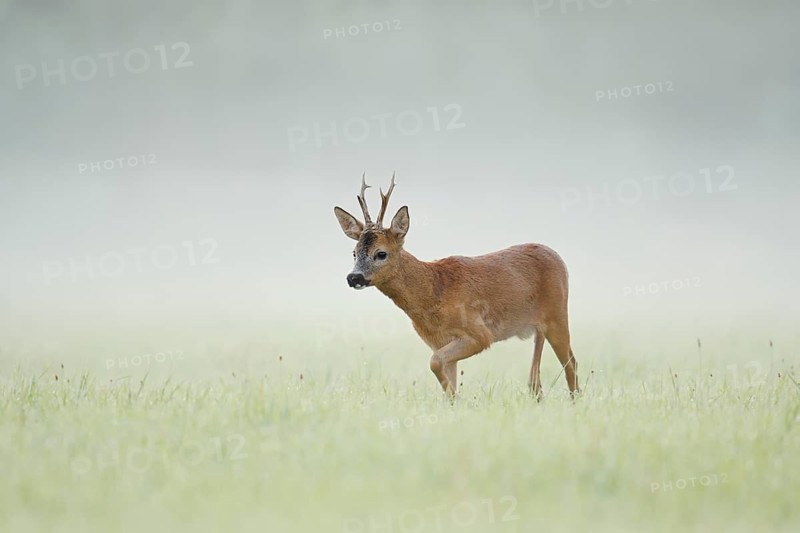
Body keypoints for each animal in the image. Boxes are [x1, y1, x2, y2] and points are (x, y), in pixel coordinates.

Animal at [334, 173, 579, 399]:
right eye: (354, 253)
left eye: (381, 253)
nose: (353, 277)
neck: (433, 292)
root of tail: (559, 258)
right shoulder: (439, 342)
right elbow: (444, 378)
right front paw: (454, 403)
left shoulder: (479, 334)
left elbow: (434, 363)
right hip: (539, 325)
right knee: (538, 375)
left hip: (557, 314)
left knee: (571, 363)